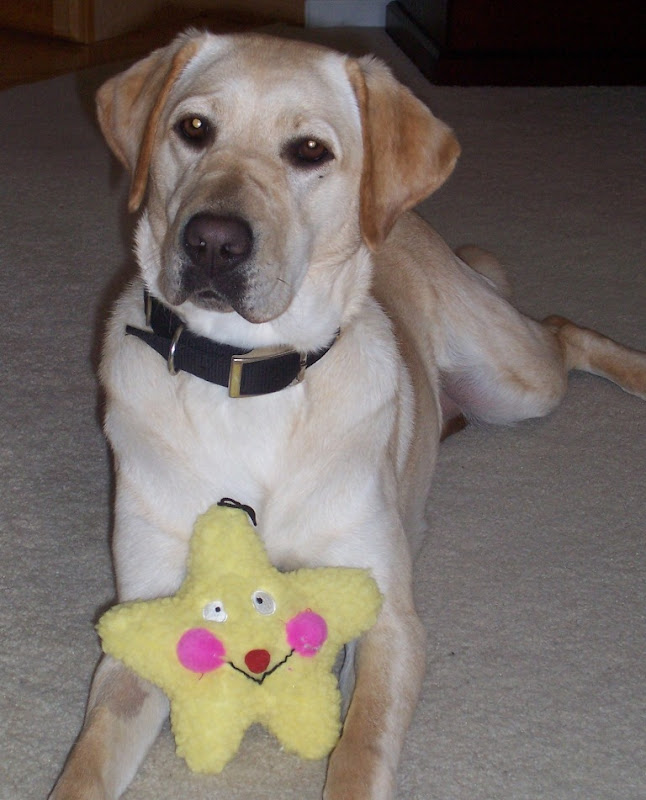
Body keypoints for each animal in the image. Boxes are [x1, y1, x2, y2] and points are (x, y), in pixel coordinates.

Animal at [50, 29, 646, 800]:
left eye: (309, 150)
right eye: (193, 129)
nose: (212, 241)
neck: (247, 378)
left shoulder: (392, 621)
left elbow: (360, 752)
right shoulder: (143, 626)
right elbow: (87, 763)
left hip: (516, 379)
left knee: (565, 332)